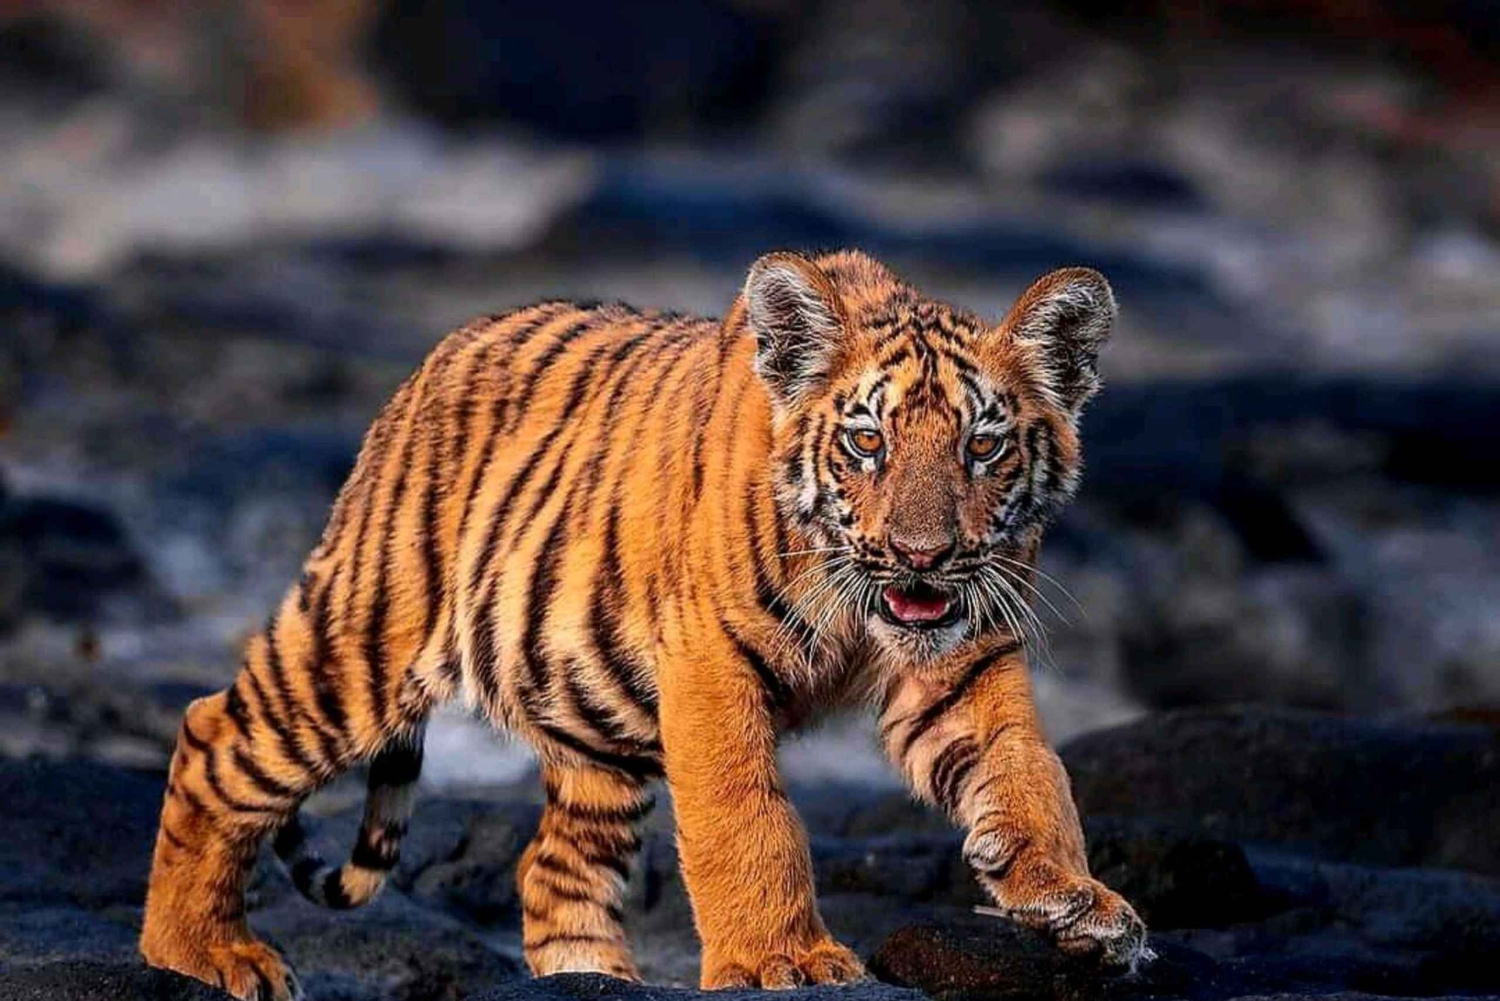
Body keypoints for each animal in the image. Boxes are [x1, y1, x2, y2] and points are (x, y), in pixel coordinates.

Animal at [139, 249, 1149, 999]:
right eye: (868, 442)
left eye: (984, 445)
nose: (921, 554)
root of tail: (433, 361)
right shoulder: (710, 662)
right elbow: (746, 816)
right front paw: (784, 960)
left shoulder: (964, 653)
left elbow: (1028, 770)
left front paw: (1075, 901)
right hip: (358, 644)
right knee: (212, 736)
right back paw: (201, 954)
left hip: (597, 734)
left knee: (552, 871)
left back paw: (595, 979)